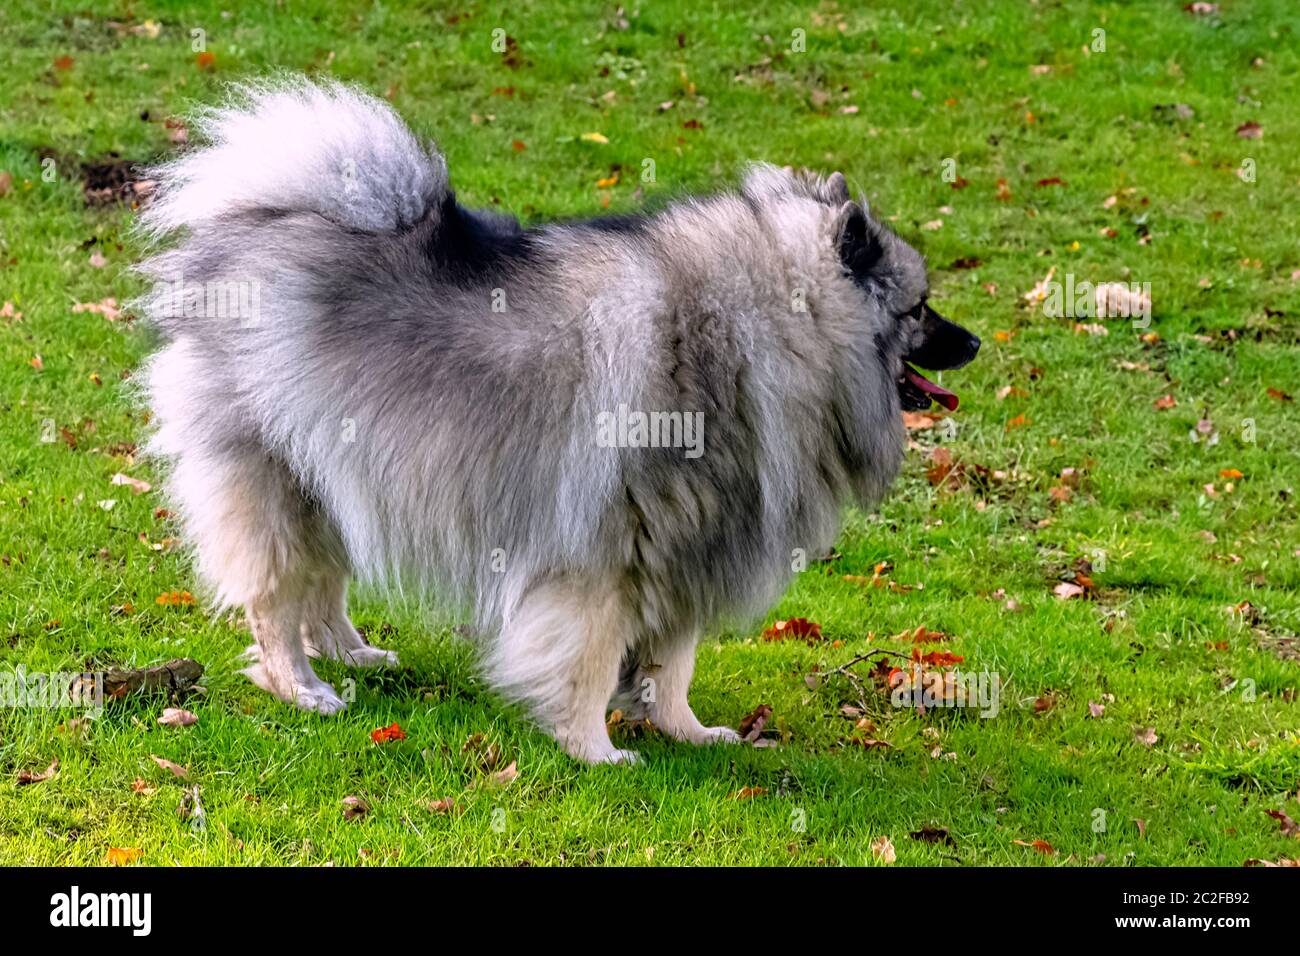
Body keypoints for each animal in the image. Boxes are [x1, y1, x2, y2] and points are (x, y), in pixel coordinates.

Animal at [137, 76, 977, 764]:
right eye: (920, 308)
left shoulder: (684, 550)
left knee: (323, 590)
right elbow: (590, 662)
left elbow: (673, 664)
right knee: (277, 602)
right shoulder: (606, 558)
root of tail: (257, 223)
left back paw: (354, 655)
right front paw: (594, 750)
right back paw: (303, 687)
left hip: (338, 478)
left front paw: (686, 731)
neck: (757, 334)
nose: (973, 342)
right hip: (277, 485)